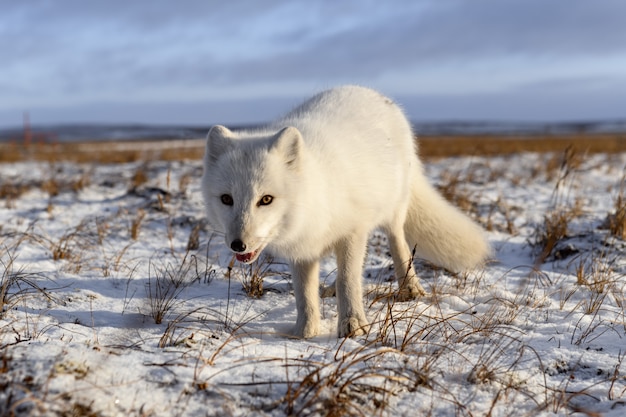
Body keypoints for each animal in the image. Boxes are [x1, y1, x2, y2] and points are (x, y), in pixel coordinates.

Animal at [202, 84, 490, 338]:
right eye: (226, 199)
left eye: (266, 199)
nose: (238, 245)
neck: (316, 193)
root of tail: (371, 92)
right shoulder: (303, 248)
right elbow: (304, 293)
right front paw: (304, 331)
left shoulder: (353, 232)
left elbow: (348, 280)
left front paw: (353, 325)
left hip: (393, 211)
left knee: (398, 244)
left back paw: (409, 287)